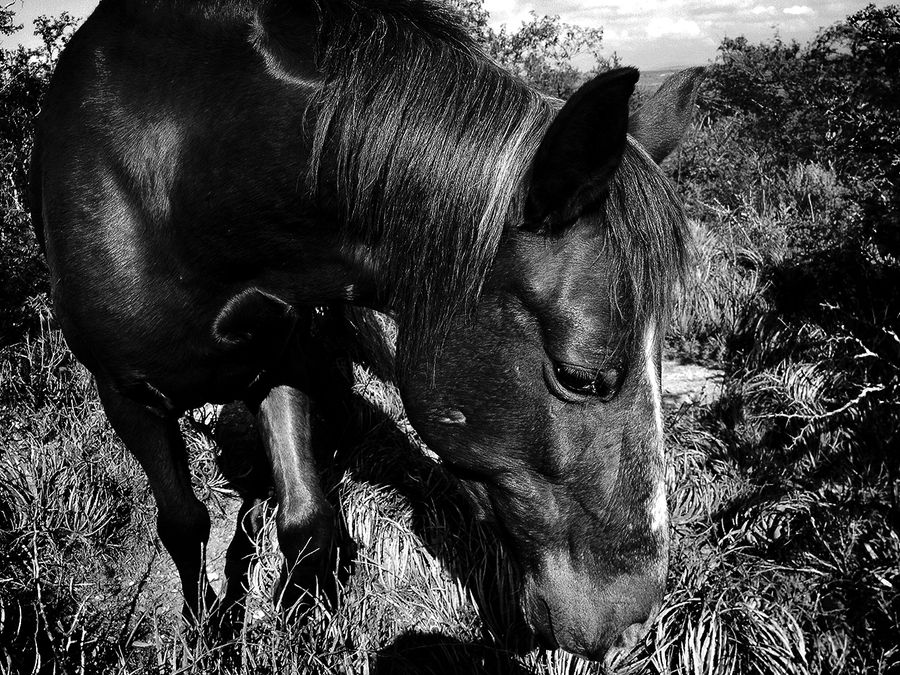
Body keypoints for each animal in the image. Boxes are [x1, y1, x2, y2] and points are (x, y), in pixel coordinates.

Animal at [30, 0, 701, 661]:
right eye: (577, 377)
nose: (633, 627)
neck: (185, 173)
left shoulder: (282, 362)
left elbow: (306, 520)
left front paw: (300, 628)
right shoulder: (127, 396)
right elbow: (184, 524)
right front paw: (209, 633)